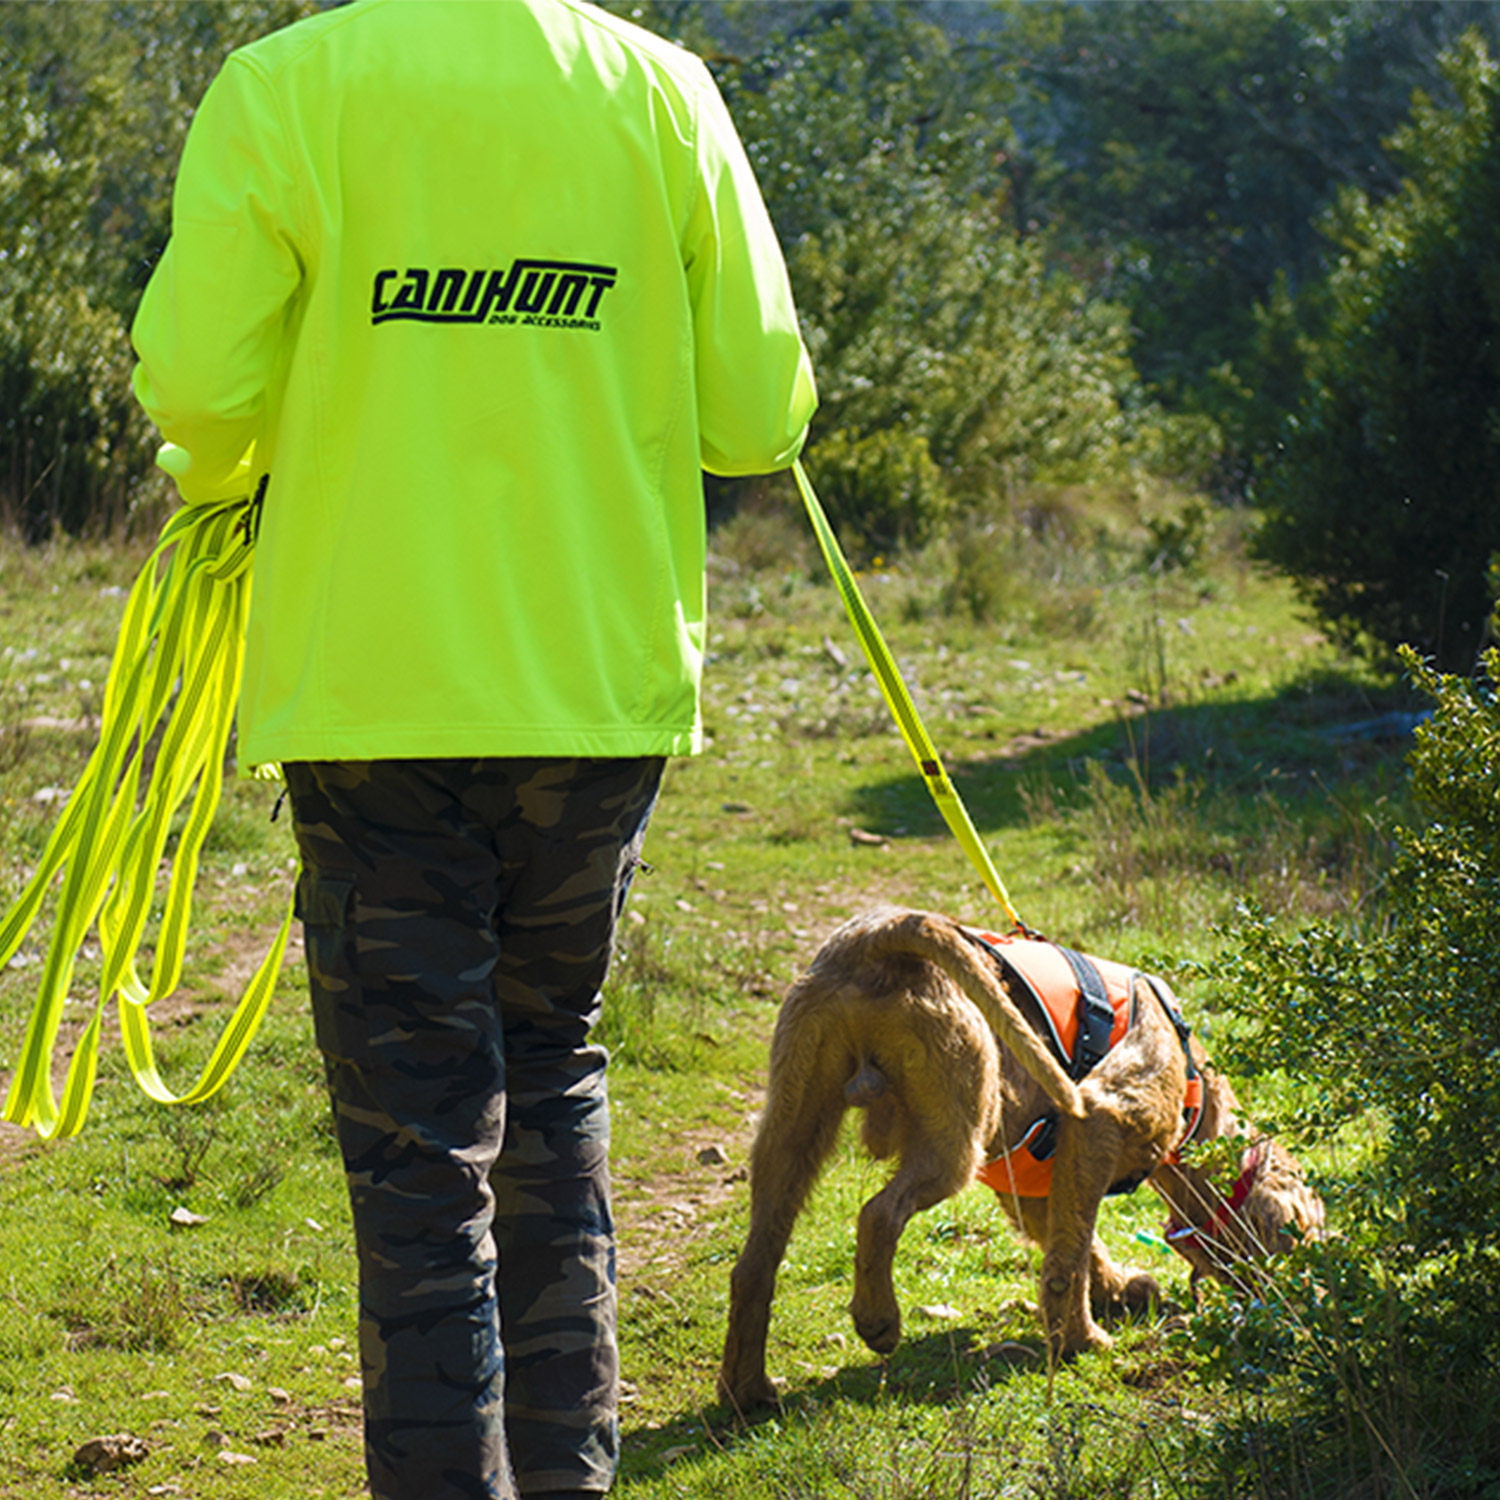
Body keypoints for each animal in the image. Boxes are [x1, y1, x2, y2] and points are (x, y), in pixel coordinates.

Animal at [720, 906, 1320, 1410]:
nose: (1305, 1309)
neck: (1200, 1100)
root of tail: (882, 933)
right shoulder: (1099, 1119)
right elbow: (1067, 1263)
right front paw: (1081, 1338)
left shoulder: (1034, 1190)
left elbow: (1077, 1247)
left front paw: (1116, 1290)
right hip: (952, 1139)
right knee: (878, 1214)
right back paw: (879, 1321)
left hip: (792, 1130)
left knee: (754, 1264)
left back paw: (746, 1390)